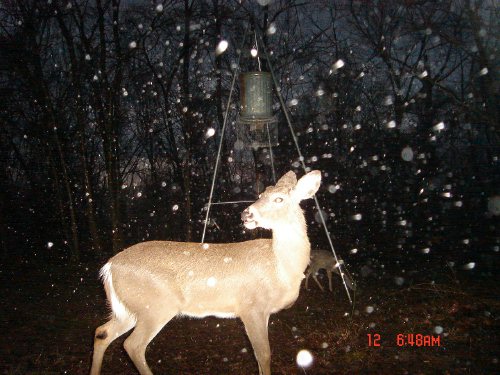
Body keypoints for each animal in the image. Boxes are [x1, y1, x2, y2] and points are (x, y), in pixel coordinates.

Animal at [90, 171, 322, 375]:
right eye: (260, 195)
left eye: (279, 198)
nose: (246, 214)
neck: (280, 267)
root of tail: (109, 266)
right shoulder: (251, 307)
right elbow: (263, 354)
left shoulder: (263, 312)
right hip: (156, 306)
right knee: (133, 345)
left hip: (129, 309)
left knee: (102, 332)